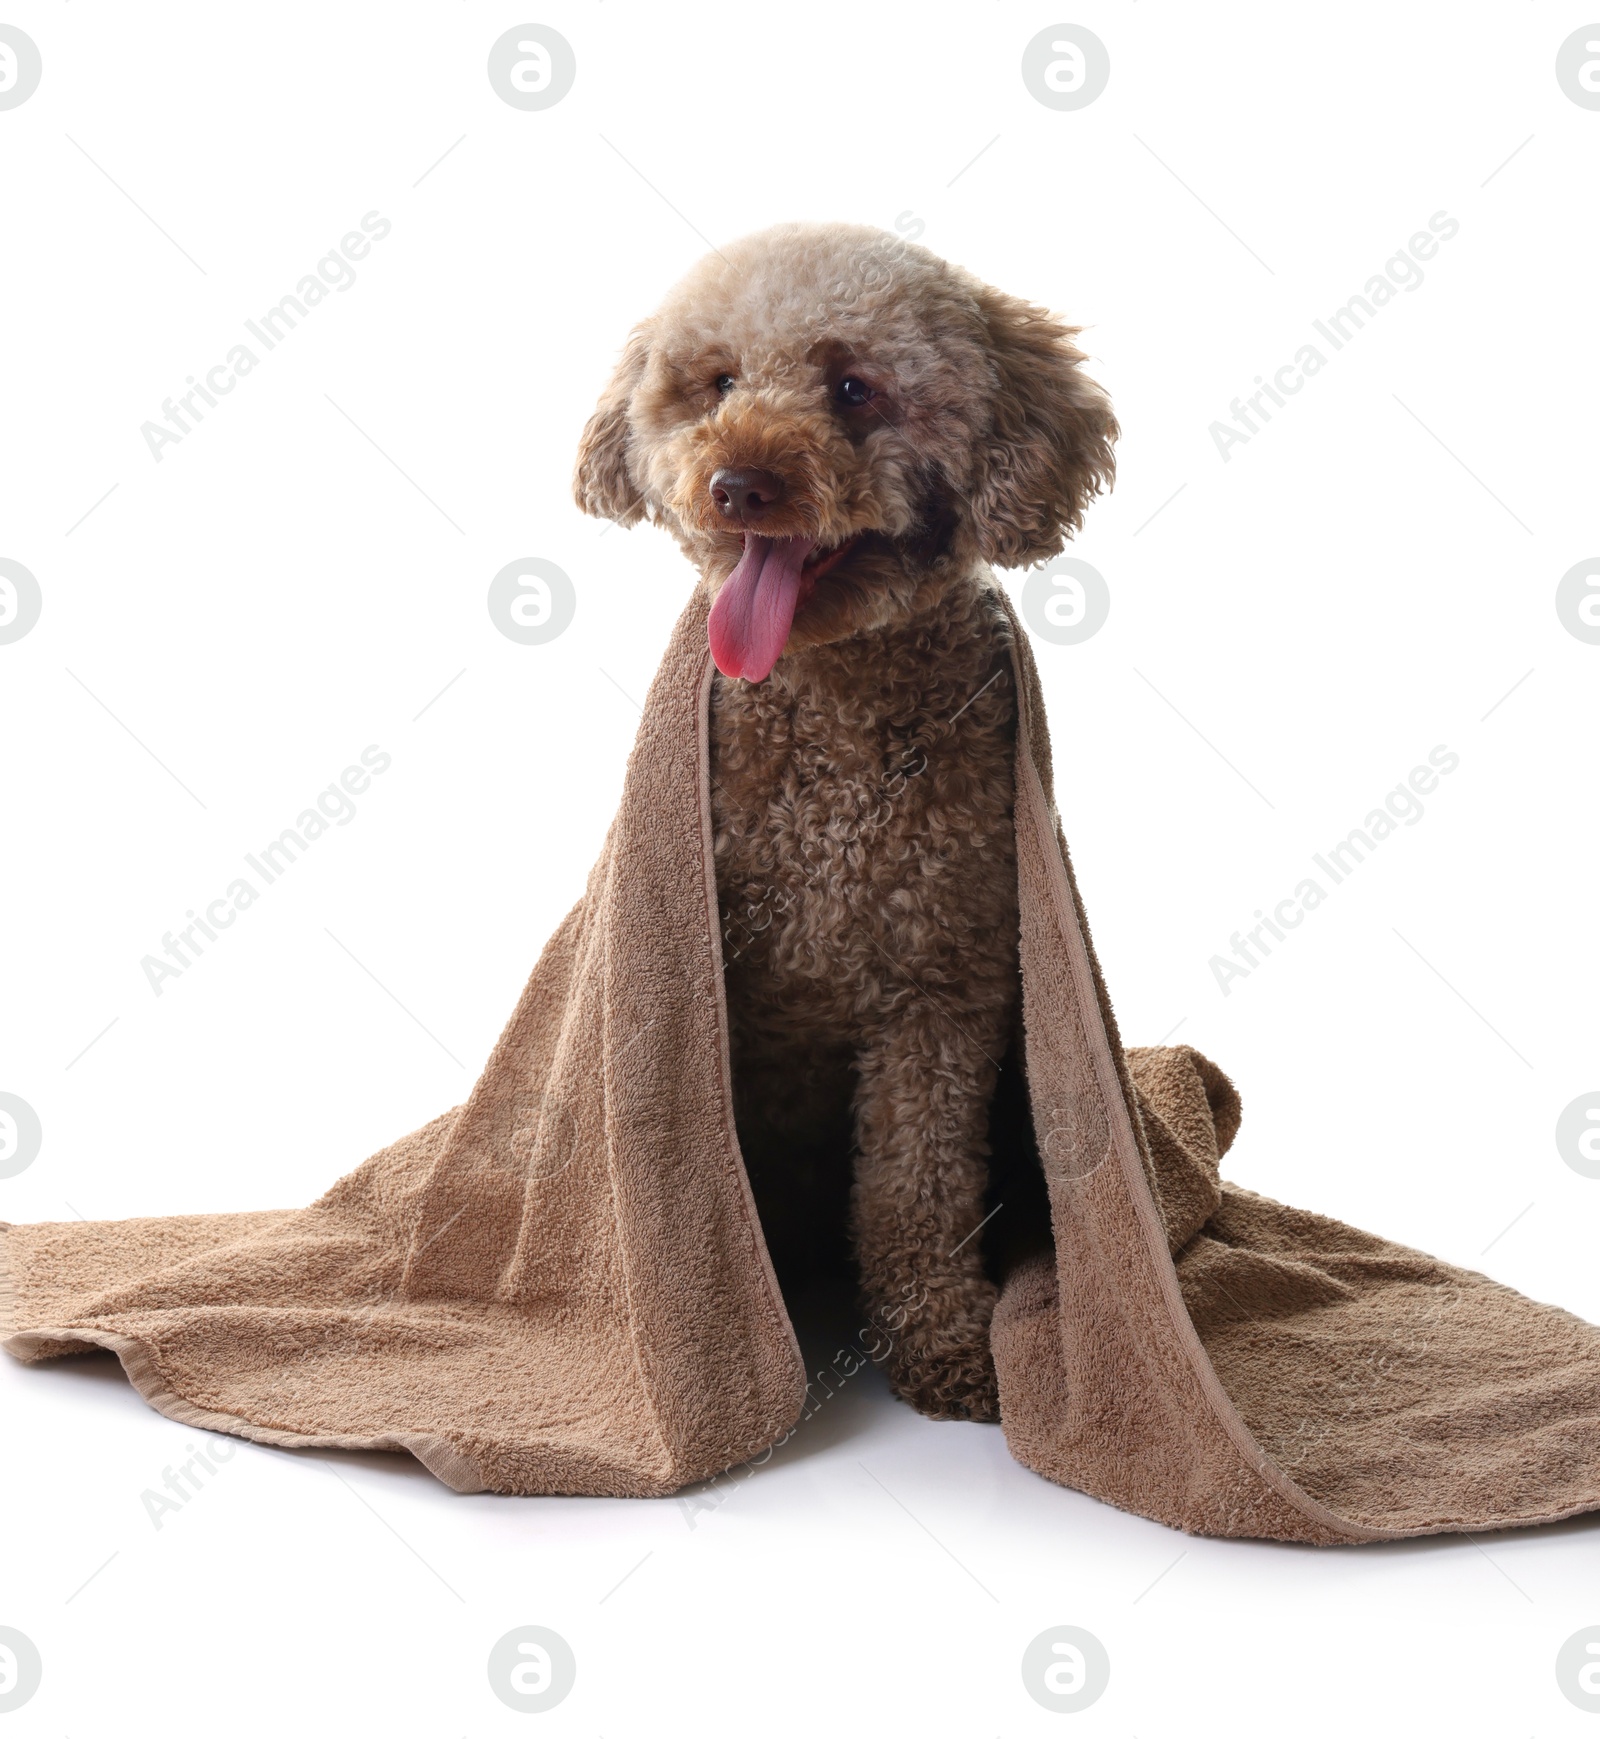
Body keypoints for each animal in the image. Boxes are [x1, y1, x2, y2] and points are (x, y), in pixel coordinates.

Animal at [570, 224, 1113, 1419]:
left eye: (855, 389)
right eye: (718, 382)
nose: (738, 484)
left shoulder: (939, 993)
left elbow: (917, 1189)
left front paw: (946, 1343)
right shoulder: (710, 987)